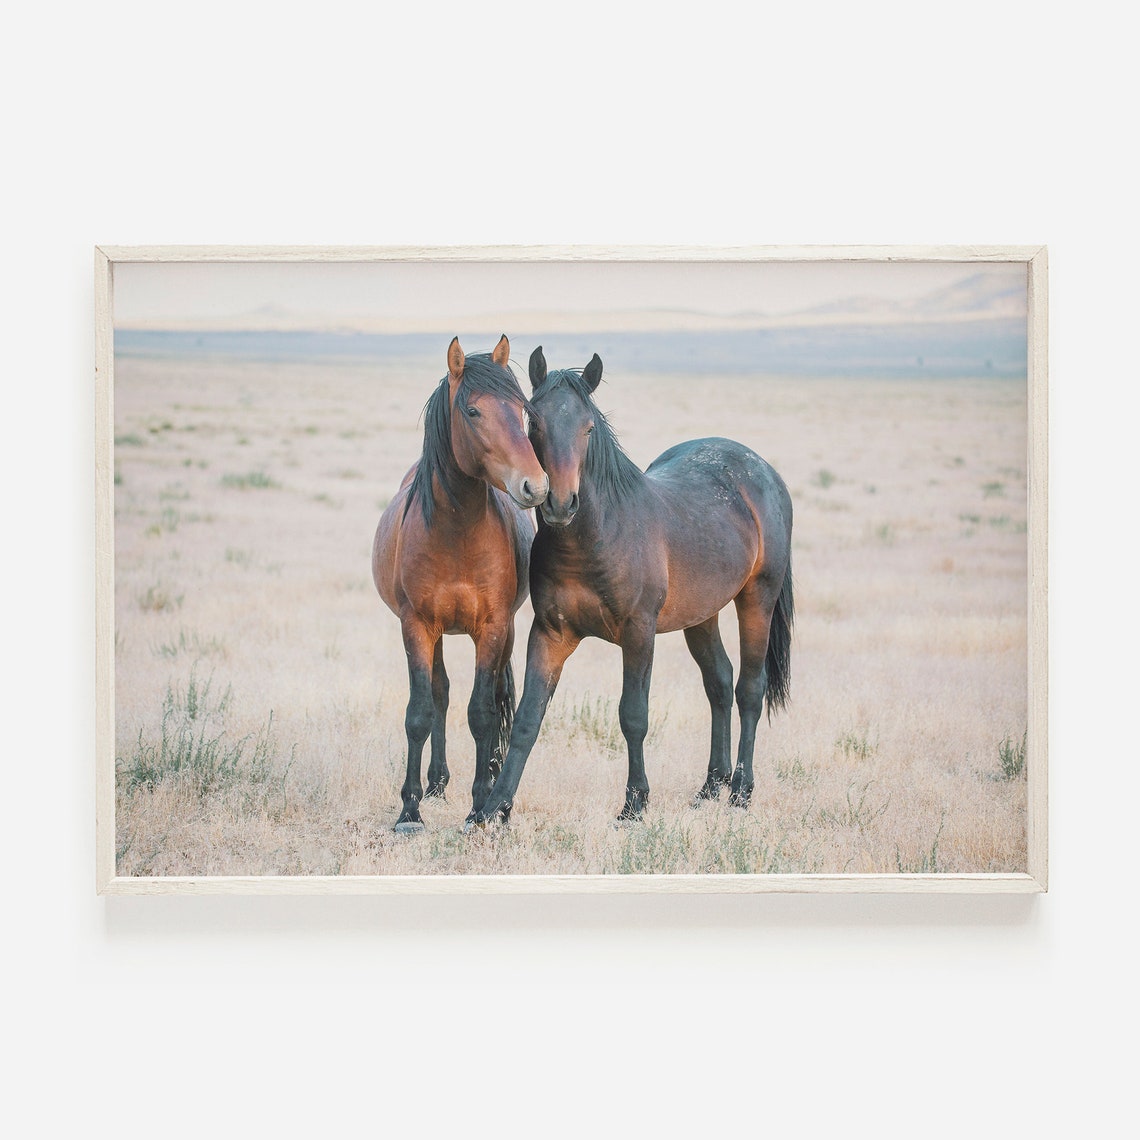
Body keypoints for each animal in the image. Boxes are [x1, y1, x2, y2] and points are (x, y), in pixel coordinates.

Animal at [372, 335, 549, 833]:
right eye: (472, 411)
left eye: (522, 410)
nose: (536, 485)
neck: (456, 531)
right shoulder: (415, 625)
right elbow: (420, 711)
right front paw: (409, 810)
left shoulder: (491, 627)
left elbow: (483, 713)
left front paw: (480, 805)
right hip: (434, 634)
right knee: (440, 693)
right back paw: (435, 783)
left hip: (504, 633)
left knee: (492, 697)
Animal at [470, 346, 793, 826]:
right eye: (534, 423)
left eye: (588, 428)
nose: (560, 503)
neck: (595, 538)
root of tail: (764, 471)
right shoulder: (550, 633)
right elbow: (529, 719)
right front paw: (492, 810)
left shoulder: (639, 633)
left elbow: (633, 716)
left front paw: (635, 803)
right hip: (702, 615)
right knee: (719, 682)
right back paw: (710, 787)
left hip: (757, 599)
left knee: (750, 690)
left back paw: (740, 791)